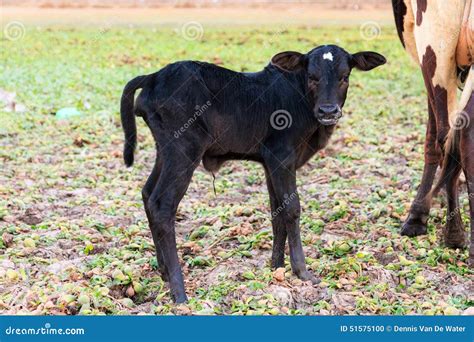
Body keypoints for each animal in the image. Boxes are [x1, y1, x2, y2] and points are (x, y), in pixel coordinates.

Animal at [121, 44, 386, 302]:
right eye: (312, 77)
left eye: (344, 77)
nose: (328, 111)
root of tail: (154, 76)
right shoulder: (282, 157)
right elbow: (292, 209)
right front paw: (302, 271)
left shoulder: (271, 164)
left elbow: (277, 211)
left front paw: (277, 267)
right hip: (183, 150)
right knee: (162, 205)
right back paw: (179, 292)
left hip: (165, 151)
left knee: (147, 194)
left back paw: (164, 272)